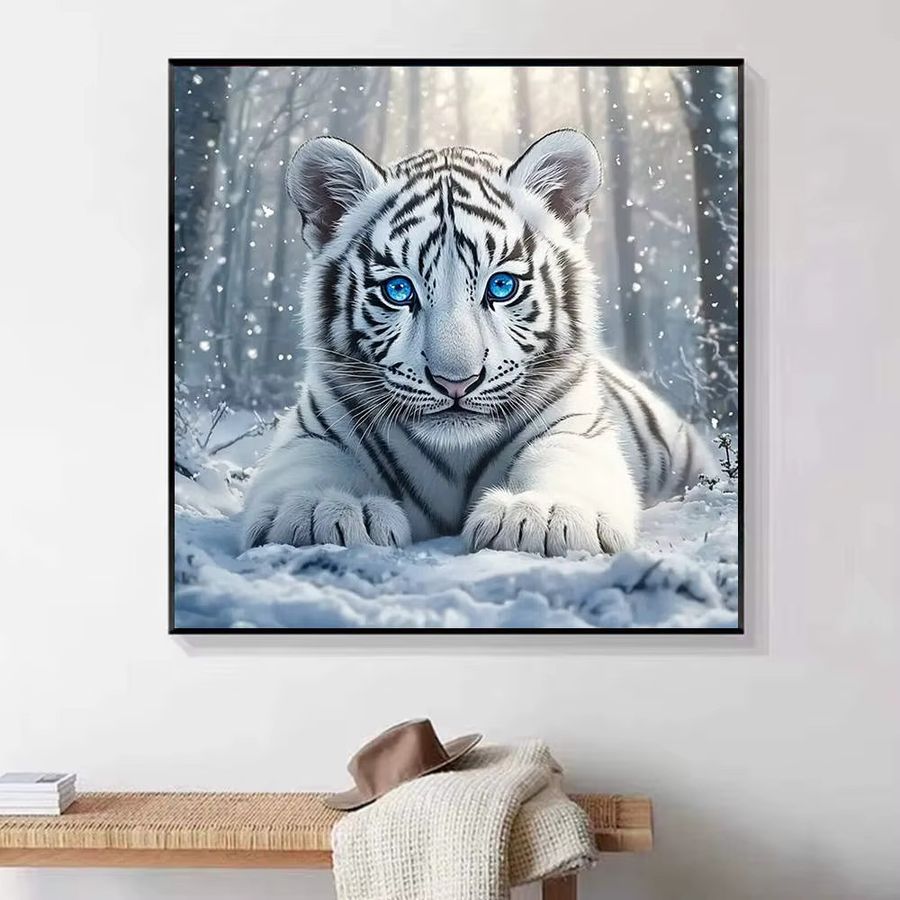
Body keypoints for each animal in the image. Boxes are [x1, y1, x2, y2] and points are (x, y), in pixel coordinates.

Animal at [241, 128, 717, 557]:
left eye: (502, 286)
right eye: (399, 290)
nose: (456, 381)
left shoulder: (576, 427)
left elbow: (566, 461)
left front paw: (542, 516)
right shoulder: (315, 429)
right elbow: (309, 467)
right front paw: (325, 512)